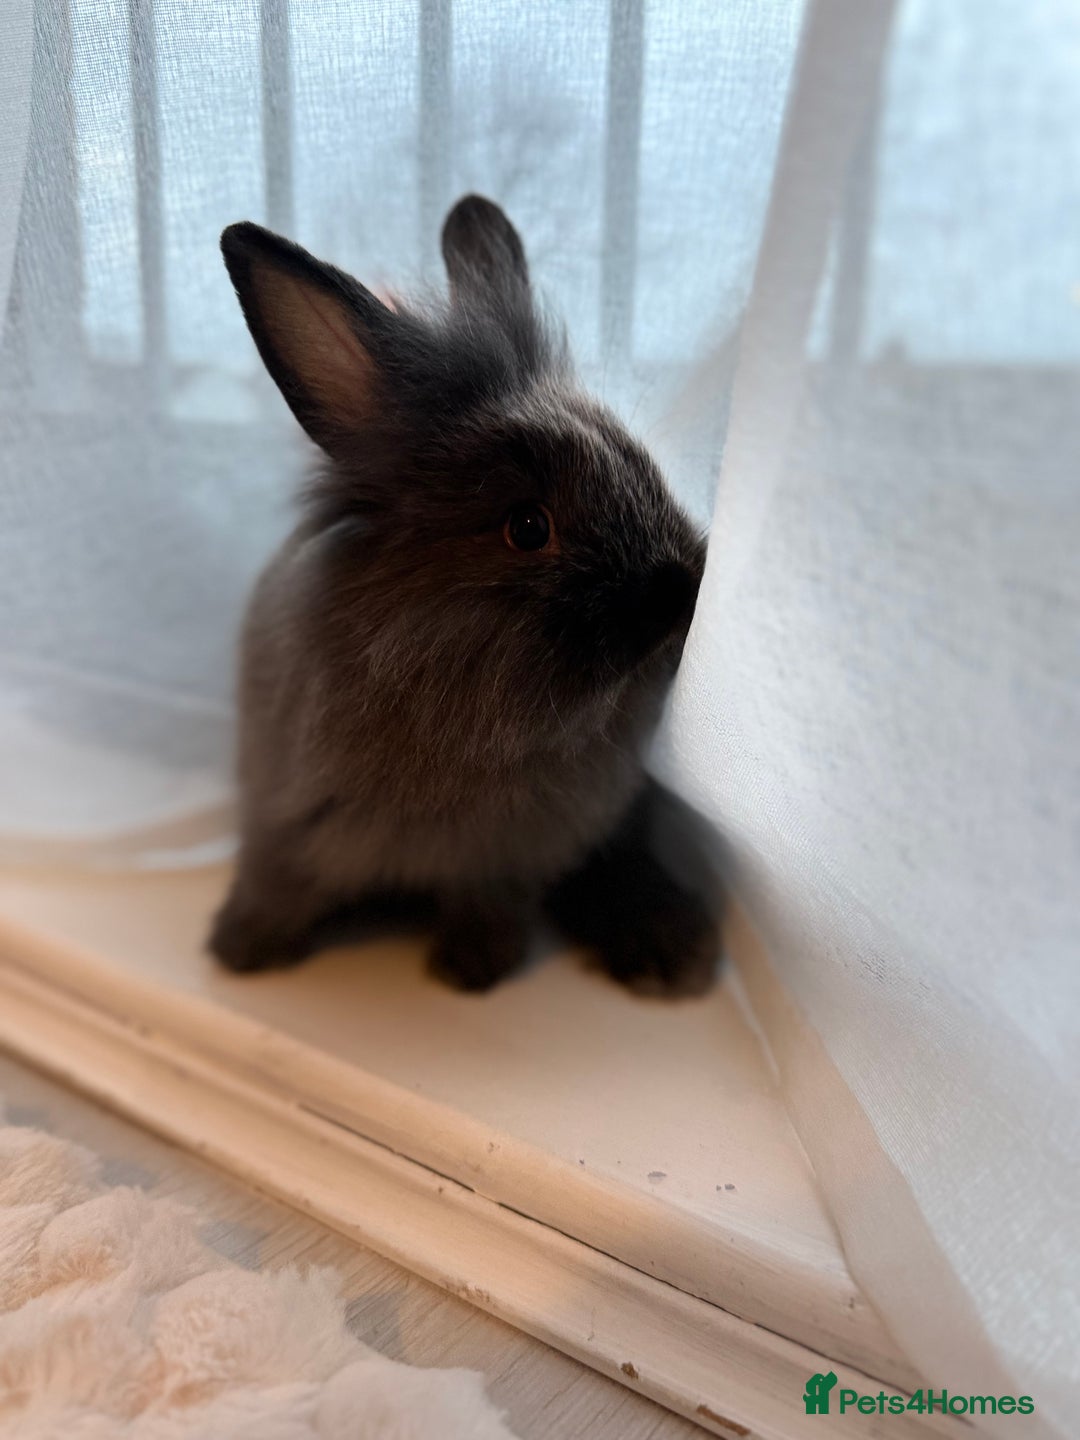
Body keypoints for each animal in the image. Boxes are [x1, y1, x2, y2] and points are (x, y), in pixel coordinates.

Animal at [209, 194, 722, 995]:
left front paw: (474, 970)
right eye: (527, 527)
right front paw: (241, 951)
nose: (681, 589)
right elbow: (278, 884)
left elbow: (485, 905)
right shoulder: (284, 825)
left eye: (644, 469)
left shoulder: (502, 861)